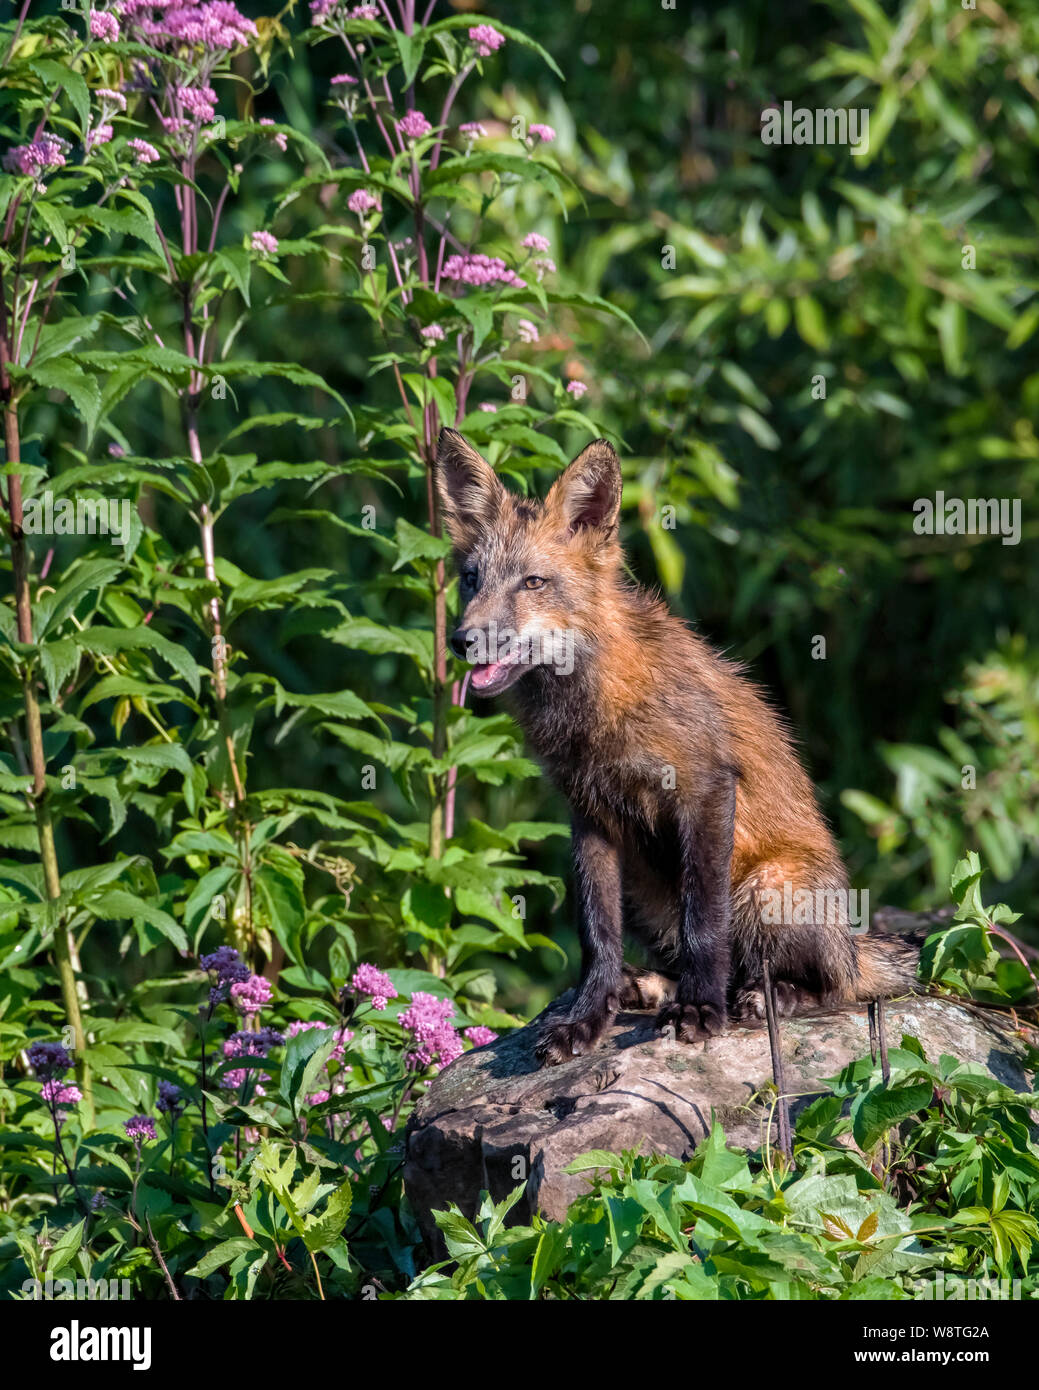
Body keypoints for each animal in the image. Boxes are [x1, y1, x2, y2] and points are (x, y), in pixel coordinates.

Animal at [435, 428, 919, 1067]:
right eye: (471, 578)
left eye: (533, 583)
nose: (462, 640)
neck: (597, 711)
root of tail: (851, 941)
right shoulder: (587, 812)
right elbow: (596, 936)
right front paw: (587, 1018)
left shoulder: (705, 787)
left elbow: (703, 925)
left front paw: (701, 1010)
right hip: (646, 886)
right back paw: (648, 987)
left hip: (768, 888)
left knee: (827, 984)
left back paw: (767, 997)